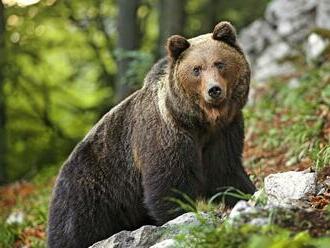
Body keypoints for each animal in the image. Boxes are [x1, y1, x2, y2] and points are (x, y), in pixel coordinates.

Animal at [47, 21, 256, 248]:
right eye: (196, 69)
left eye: (219, 63)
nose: (214, 90)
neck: (199, 122)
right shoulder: (165, 136)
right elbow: (169, 185)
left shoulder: (223, 133)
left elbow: (225, 172)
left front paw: (248, 195)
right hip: (90, 194)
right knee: (74, 231)